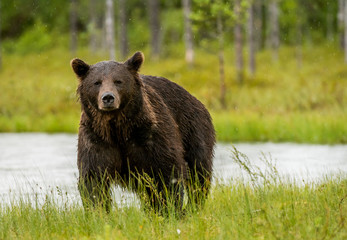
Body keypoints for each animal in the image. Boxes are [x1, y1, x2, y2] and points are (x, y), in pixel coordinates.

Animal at [70, 51, 216, 211]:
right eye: (97, 82)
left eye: (118, 81)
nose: (108, 98)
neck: (118, 129)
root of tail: (196, 100)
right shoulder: (96, 139)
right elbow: (93, 178)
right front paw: (98, 210)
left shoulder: (150, 136)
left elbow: (168, 172)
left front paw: (169, 208)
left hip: (194, 129)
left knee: (199, 172)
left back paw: (193, 206)